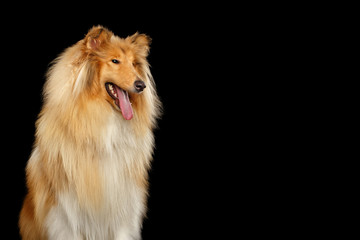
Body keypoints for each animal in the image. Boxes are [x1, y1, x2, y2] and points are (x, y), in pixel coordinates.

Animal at [18, 25, 162, 239]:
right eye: (115, 61)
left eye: (134, 64)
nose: (141, 85)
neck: (103, 122)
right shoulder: (67, 213)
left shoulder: (124, 207)